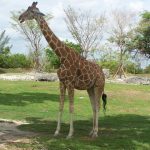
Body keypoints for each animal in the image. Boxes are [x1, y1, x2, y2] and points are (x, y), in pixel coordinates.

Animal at [19, 2, 106, 138]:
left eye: (32, 11)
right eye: (27, 9)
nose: (20, 17)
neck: (62, 56)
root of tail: (103, 73)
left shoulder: (70, 83)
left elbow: (71, 107)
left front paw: (70, 134)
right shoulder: (61, 82)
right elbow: (60, 106)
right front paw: (56, 131)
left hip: (99, 86)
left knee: (97, 106)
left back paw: (96, 133)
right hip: (90, 88)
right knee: (93, 106)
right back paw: (91, 131)